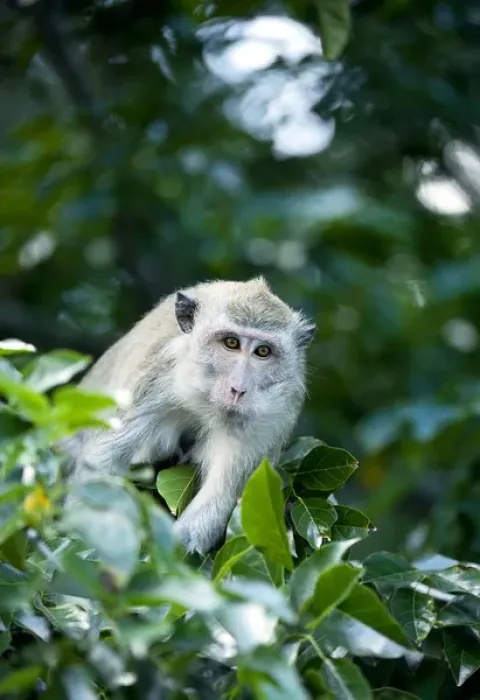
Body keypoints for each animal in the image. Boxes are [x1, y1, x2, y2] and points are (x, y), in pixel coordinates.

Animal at [64, 278, 315, 555]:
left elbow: (219, 500)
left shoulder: (270, 418)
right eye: (231, 343)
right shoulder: (156, 376)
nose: (238, 390)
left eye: (262, 351)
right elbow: (99, 466)